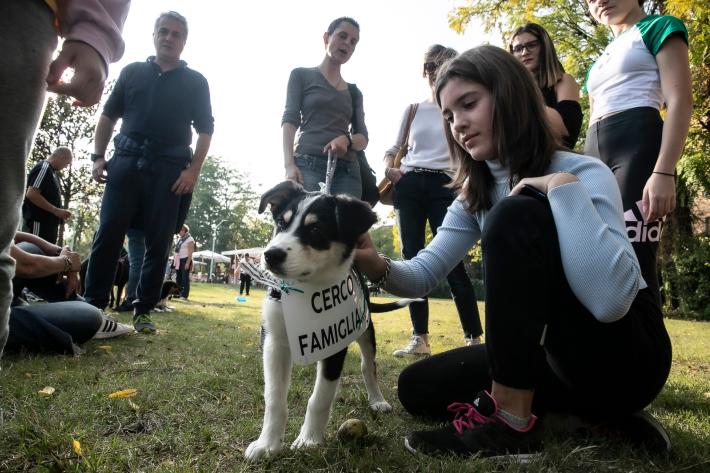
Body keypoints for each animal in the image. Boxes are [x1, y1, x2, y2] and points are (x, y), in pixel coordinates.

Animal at [245, 181, 415, 461]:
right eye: (281, 222)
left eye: (316, 229)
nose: (271, 255)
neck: (305, 290)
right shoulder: (273, 342)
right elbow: (274, 398)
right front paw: (267, 444)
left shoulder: (333, 341)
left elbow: (320, 397)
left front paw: (308, 440)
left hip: (365, 329)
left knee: (368, 367)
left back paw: (377, 400)